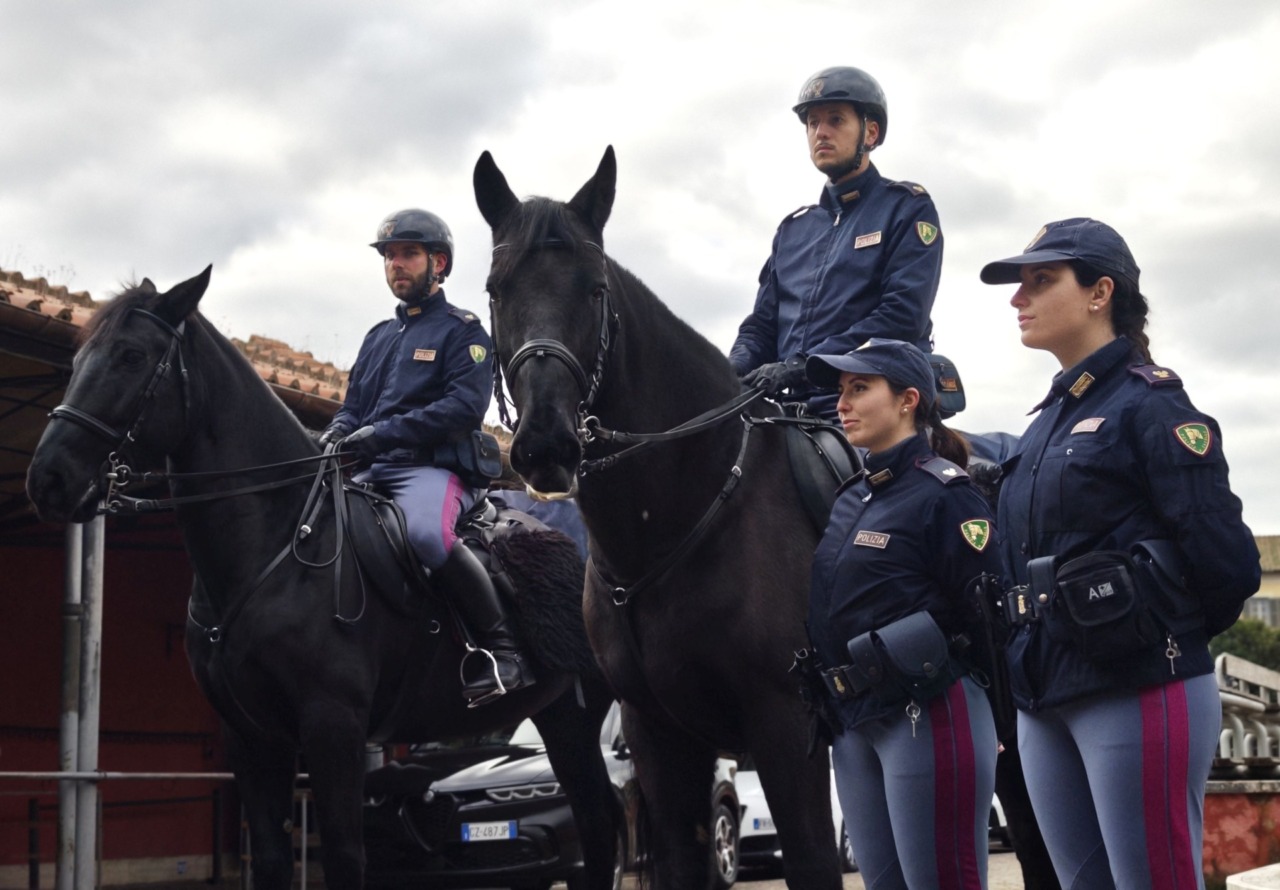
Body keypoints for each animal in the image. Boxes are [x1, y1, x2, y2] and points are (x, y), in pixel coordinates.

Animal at [25, 268, 621, 890]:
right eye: (78, 358)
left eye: (131, 356)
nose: (47, 480)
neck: (279, 543)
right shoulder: (248, 736)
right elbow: (271, 857)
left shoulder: (333, 726)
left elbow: (343, 856)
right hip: (556, 712)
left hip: (583, 714)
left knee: (598, 824)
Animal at [473, 146, 845, 890]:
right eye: (497, 290)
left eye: (594, 289)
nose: (546, 444)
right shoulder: (659, 736)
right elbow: (676, 860)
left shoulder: (788, 724)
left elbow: (814, 858)